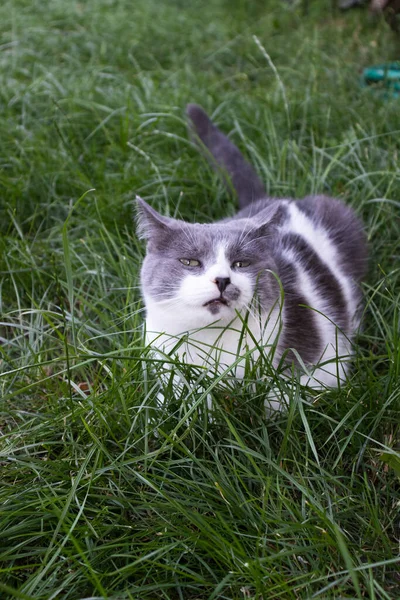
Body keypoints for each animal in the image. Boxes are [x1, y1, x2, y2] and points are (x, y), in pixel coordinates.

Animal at [136, 103, 368, 390]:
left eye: (241, 263)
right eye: (189, 261)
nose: (222, 280)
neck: (212, 346)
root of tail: (275, 200)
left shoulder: (321, 366)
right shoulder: (163, 360)